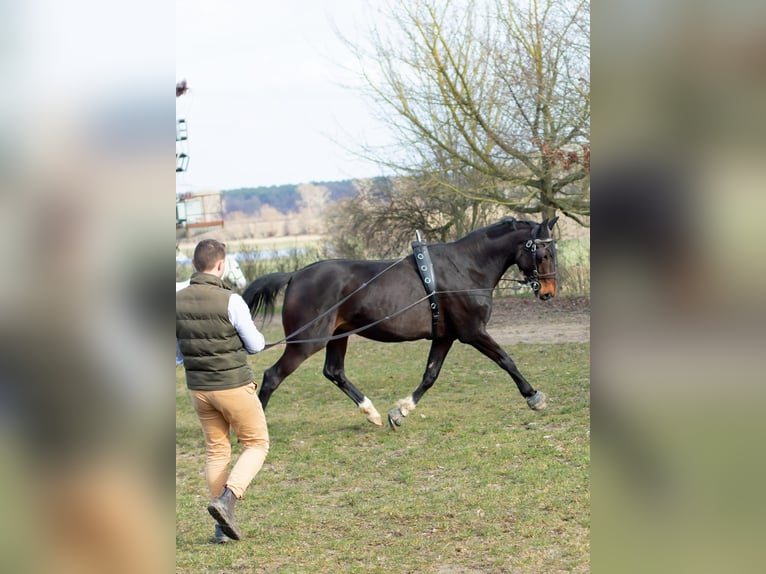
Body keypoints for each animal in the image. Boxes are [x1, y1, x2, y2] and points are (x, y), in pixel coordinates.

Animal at [244, 218, 560, 430]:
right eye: (544, 254)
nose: (548, 292)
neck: (466, 268)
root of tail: (296, 274)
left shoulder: (445, 336)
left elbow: (430, 375)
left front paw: (400, 411)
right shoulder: (473, 332)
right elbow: (506, 360)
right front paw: (534, 396)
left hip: (338, 336)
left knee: (334, 372)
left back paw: (371, 412)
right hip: (307, 341)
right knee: (272, 376)